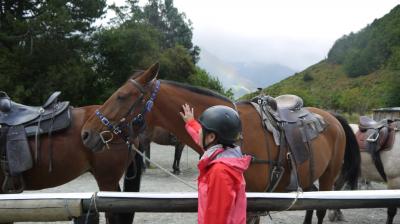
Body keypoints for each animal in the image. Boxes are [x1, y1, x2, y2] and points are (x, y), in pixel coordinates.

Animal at [80, 63, 360, 224]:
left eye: (122, 96)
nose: (85, 134)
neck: (237, 132)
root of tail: (332, 117)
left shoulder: (253, 202)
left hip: (328, 176)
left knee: (321, 209)